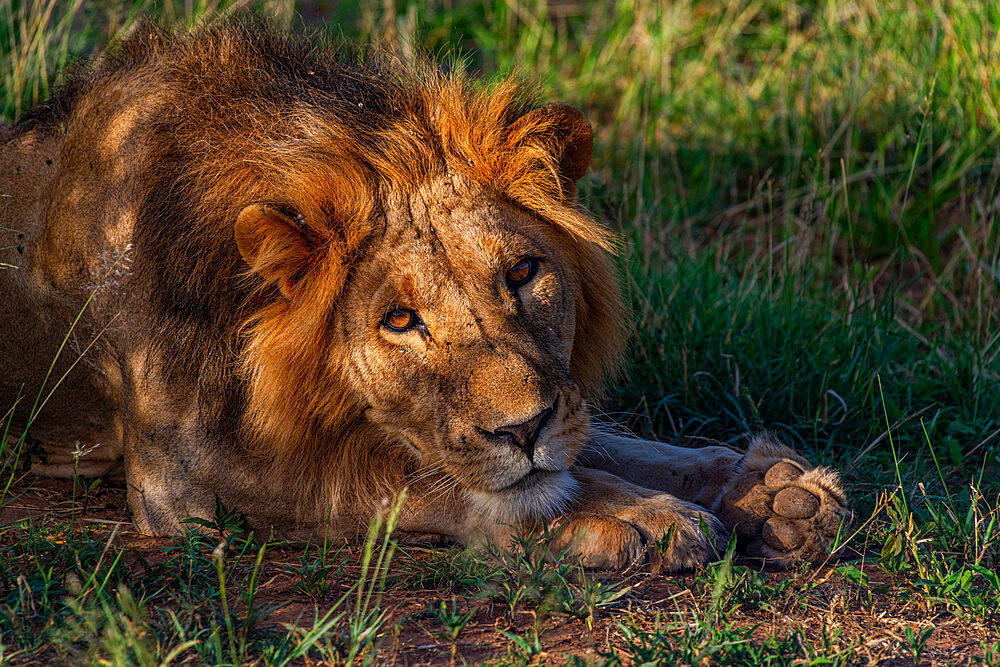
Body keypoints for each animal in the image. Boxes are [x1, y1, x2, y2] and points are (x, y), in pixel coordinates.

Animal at [0, 20, 848, 568]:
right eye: (400, 320)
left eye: (522, 274)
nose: (524, 428)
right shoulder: (184, 484)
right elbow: (439, 482)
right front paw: (639, 516)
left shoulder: (551, 403)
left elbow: (602, 441)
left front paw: (774, 495)